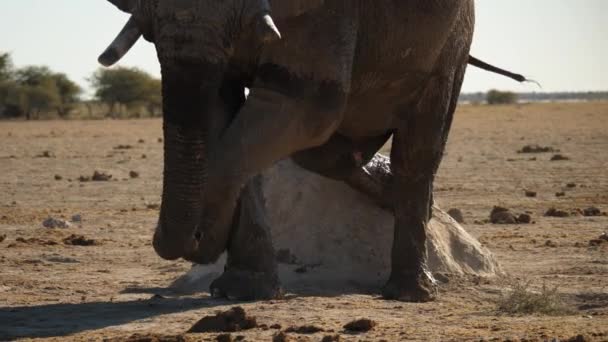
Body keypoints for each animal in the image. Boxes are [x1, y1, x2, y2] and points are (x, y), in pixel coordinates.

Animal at [100, 0, 528, 300]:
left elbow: (306, 105)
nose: (197, 238)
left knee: (418, 149)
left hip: (451, 42)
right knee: (326, 156)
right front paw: (241, 291)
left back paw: (410, 291)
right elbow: (225, 117)